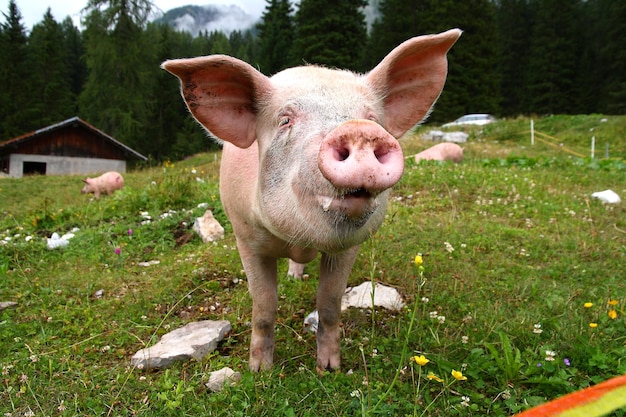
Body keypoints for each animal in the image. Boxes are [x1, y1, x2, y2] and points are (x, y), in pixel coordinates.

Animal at [163, 28, 460, 370]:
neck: (300, 240)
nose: (359, 129)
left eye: (373, 118)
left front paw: (329, 368)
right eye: (285, 120)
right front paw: (260, 371)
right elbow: (264, 306)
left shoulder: (348, 248)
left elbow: (329, 304)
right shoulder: (246, 238)